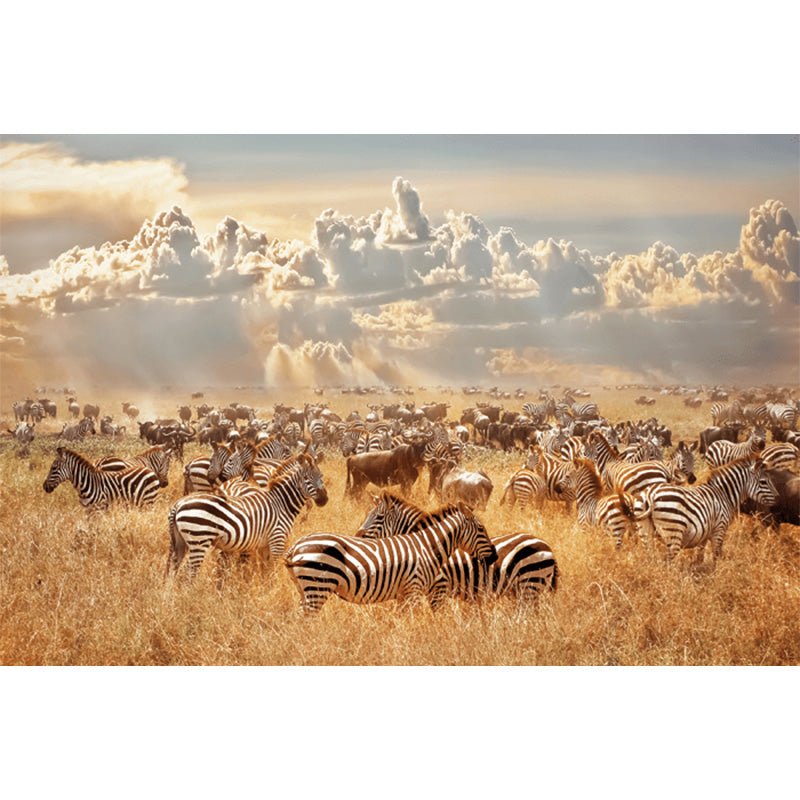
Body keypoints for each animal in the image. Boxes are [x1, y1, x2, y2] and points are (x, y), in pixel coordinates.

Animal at [167, 453, 328, 577]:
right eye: (306, 478)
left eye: (321, 476)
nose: (324, 499)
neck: (281, 503)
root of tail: (178, 504)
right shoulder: (277, 539)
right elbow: (274, 568)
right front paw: (273, 586)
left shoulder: (264, 544)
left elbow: (265, 569)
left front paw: (264, 586)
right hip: (199, 539)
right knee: (189, 571)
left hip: (181, 542)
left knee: (174, 567)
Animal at [284, 502, 497, 614]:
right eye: (481, 529)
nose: (495, 556)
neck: (427, 546)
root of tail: (296, 546)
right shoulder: (415, 588)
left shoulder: (404, 593)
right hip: (317, 585)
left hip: (305, 589)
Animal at [632, 458, 778, 562]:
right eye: (763, 482)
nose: (778, 497)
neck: (723, 494)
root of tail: (650, 495)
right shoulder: (719, 529)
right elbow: (716, 554)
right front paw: (715, 575)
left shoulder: (704, 532)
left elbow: (700, 554)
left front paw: (699, 571)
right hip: (673, 532)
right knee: (669, 562)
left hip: (644, 531)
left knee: (650, 558)